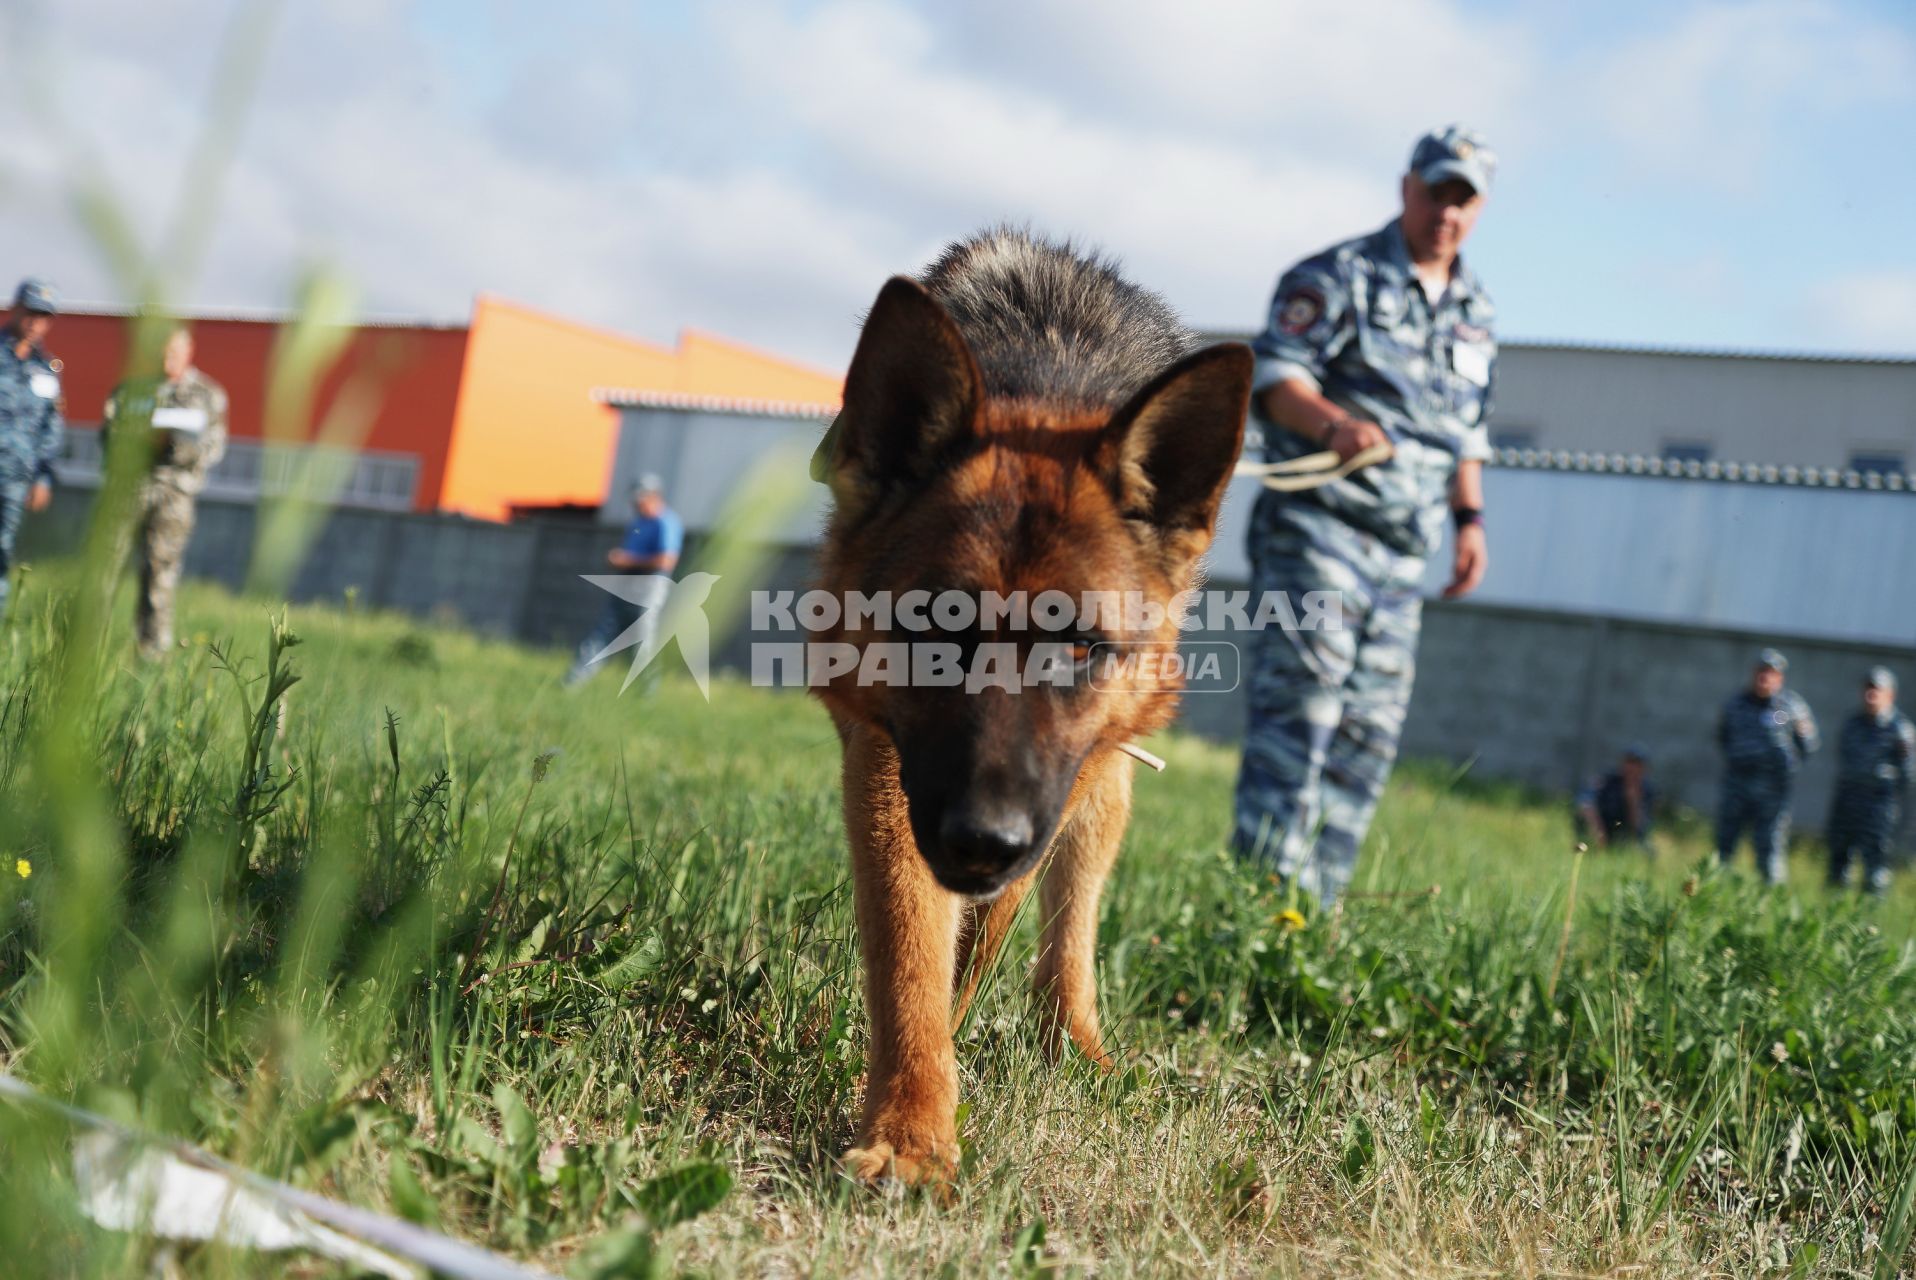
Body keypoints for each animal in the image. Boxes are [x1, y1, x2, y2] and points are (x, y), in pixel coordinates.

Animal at [812, 227, 1249, 1180]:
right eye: (930, 626)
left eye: (1081, 646)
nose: (982, 839)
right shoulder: (889, 766)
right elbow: (910, 952)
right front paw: (912, 1129)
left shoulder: (1056, 785)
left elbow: (996, 928)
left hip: (1105, 783)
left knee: (1067, 928)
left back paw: (1075, 1048)